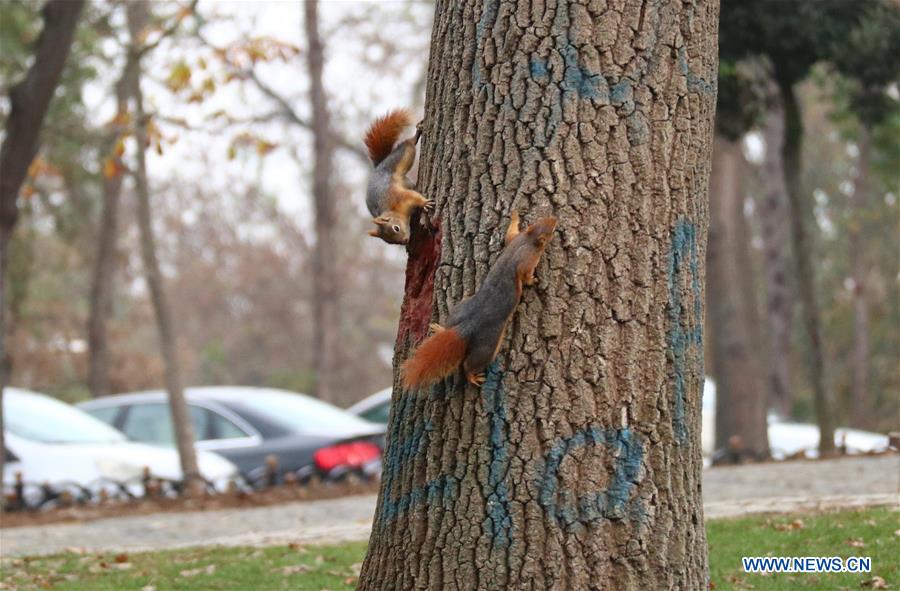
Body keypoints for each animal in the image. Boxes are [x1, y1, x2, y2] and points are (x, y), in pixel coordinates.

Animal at [363, 109, 434, 245]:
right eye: (390, 242)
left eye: (396, 228)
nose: (405, 241)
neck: (394, 210)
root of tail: (379, 165)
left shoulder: (400, 197)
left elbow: (414, 197)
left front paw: (425, 203)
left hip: (403, 154)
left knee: (409, 144)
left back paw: (417, 133)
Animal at [402, 211, 557, 389]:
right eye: (552, 230)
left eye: (542, 220)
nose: (555, 219)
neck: (528, 240)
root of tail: (466, 328)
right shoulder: (528, 260)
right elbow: (525, 275)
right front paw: (533, 280)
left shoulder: (514, 239)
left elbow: (509, 235)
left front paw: (514, 216)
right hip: (487, 347)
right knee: (469, 365)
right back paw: (473, 377)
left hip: (459, 309)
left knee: (449, 326)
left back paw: (439, 329)